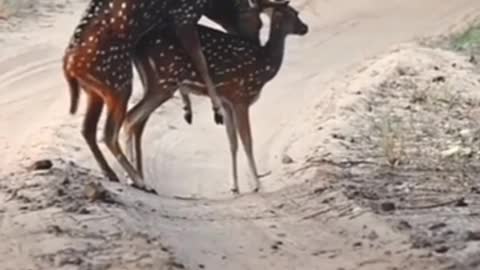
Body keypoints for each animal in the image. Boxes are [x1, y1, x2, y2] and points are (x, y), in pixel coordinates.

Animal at [61, 0, 266, 192]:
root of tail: (69, 68)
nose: (255, 48)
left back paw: (113, 174)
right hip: (118, 83)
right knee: (109, 132)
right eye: (259, 23)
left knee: (88, 128)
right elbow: (200, 62)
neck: (209, 5)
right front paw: (215, 111)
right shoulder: (184, 16)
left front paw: (187, 108)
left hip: (95, 91)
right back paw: (139, 181)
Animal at [124, 0, 310, 194]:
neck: (264, 67)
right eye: (295, 13)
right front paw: (258, 185)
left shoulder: (226, 102)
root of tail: (136, 48)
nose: (305, 27)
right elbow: (247, 140)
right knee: (130, 118)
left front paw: (235, 186)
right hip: (163, 82)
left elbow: (232, 142)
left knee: (136, 121)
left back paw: (137, 178)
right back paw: (136, 180)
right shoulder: (240, 97)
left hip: (151, 82)